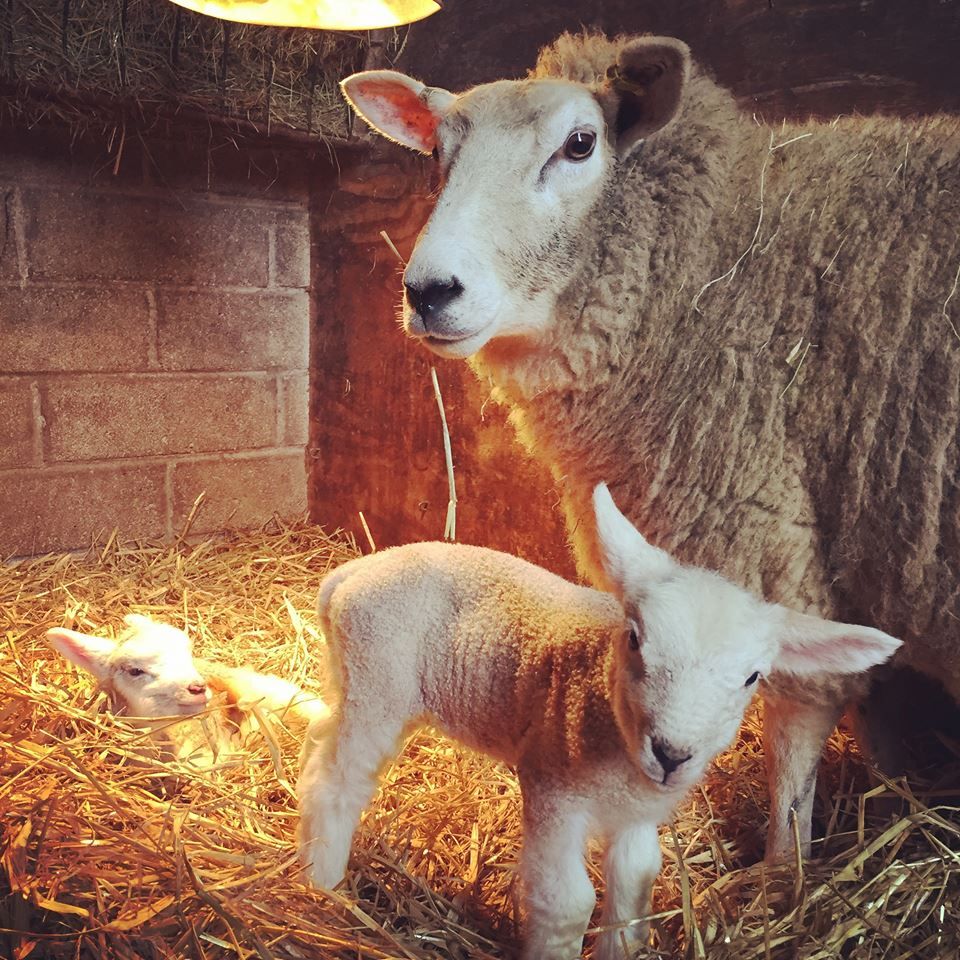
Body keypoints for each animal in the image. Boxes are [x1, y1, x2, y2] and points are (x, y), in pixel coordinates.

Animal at [298, 484, 900, 960]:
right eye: (634, 639)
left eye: (753, 676)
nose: (672, 754)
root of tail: (352, 573)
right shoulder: (553, 789)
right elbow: (567, 901)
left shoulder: (636, 816)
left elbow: (635, 886)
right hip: (377, 684)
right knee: (336, 784)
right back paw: (322, 885)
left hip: (354, 679)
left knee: (317, 746)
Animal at [340, 32, 960, 862]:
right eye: (439, 149)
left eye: (580, 143)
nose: (430, 292)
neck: (716, 272)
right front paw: (887, 795)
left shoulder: (760, 534)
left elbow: (795, 725)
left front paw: (785, 869)